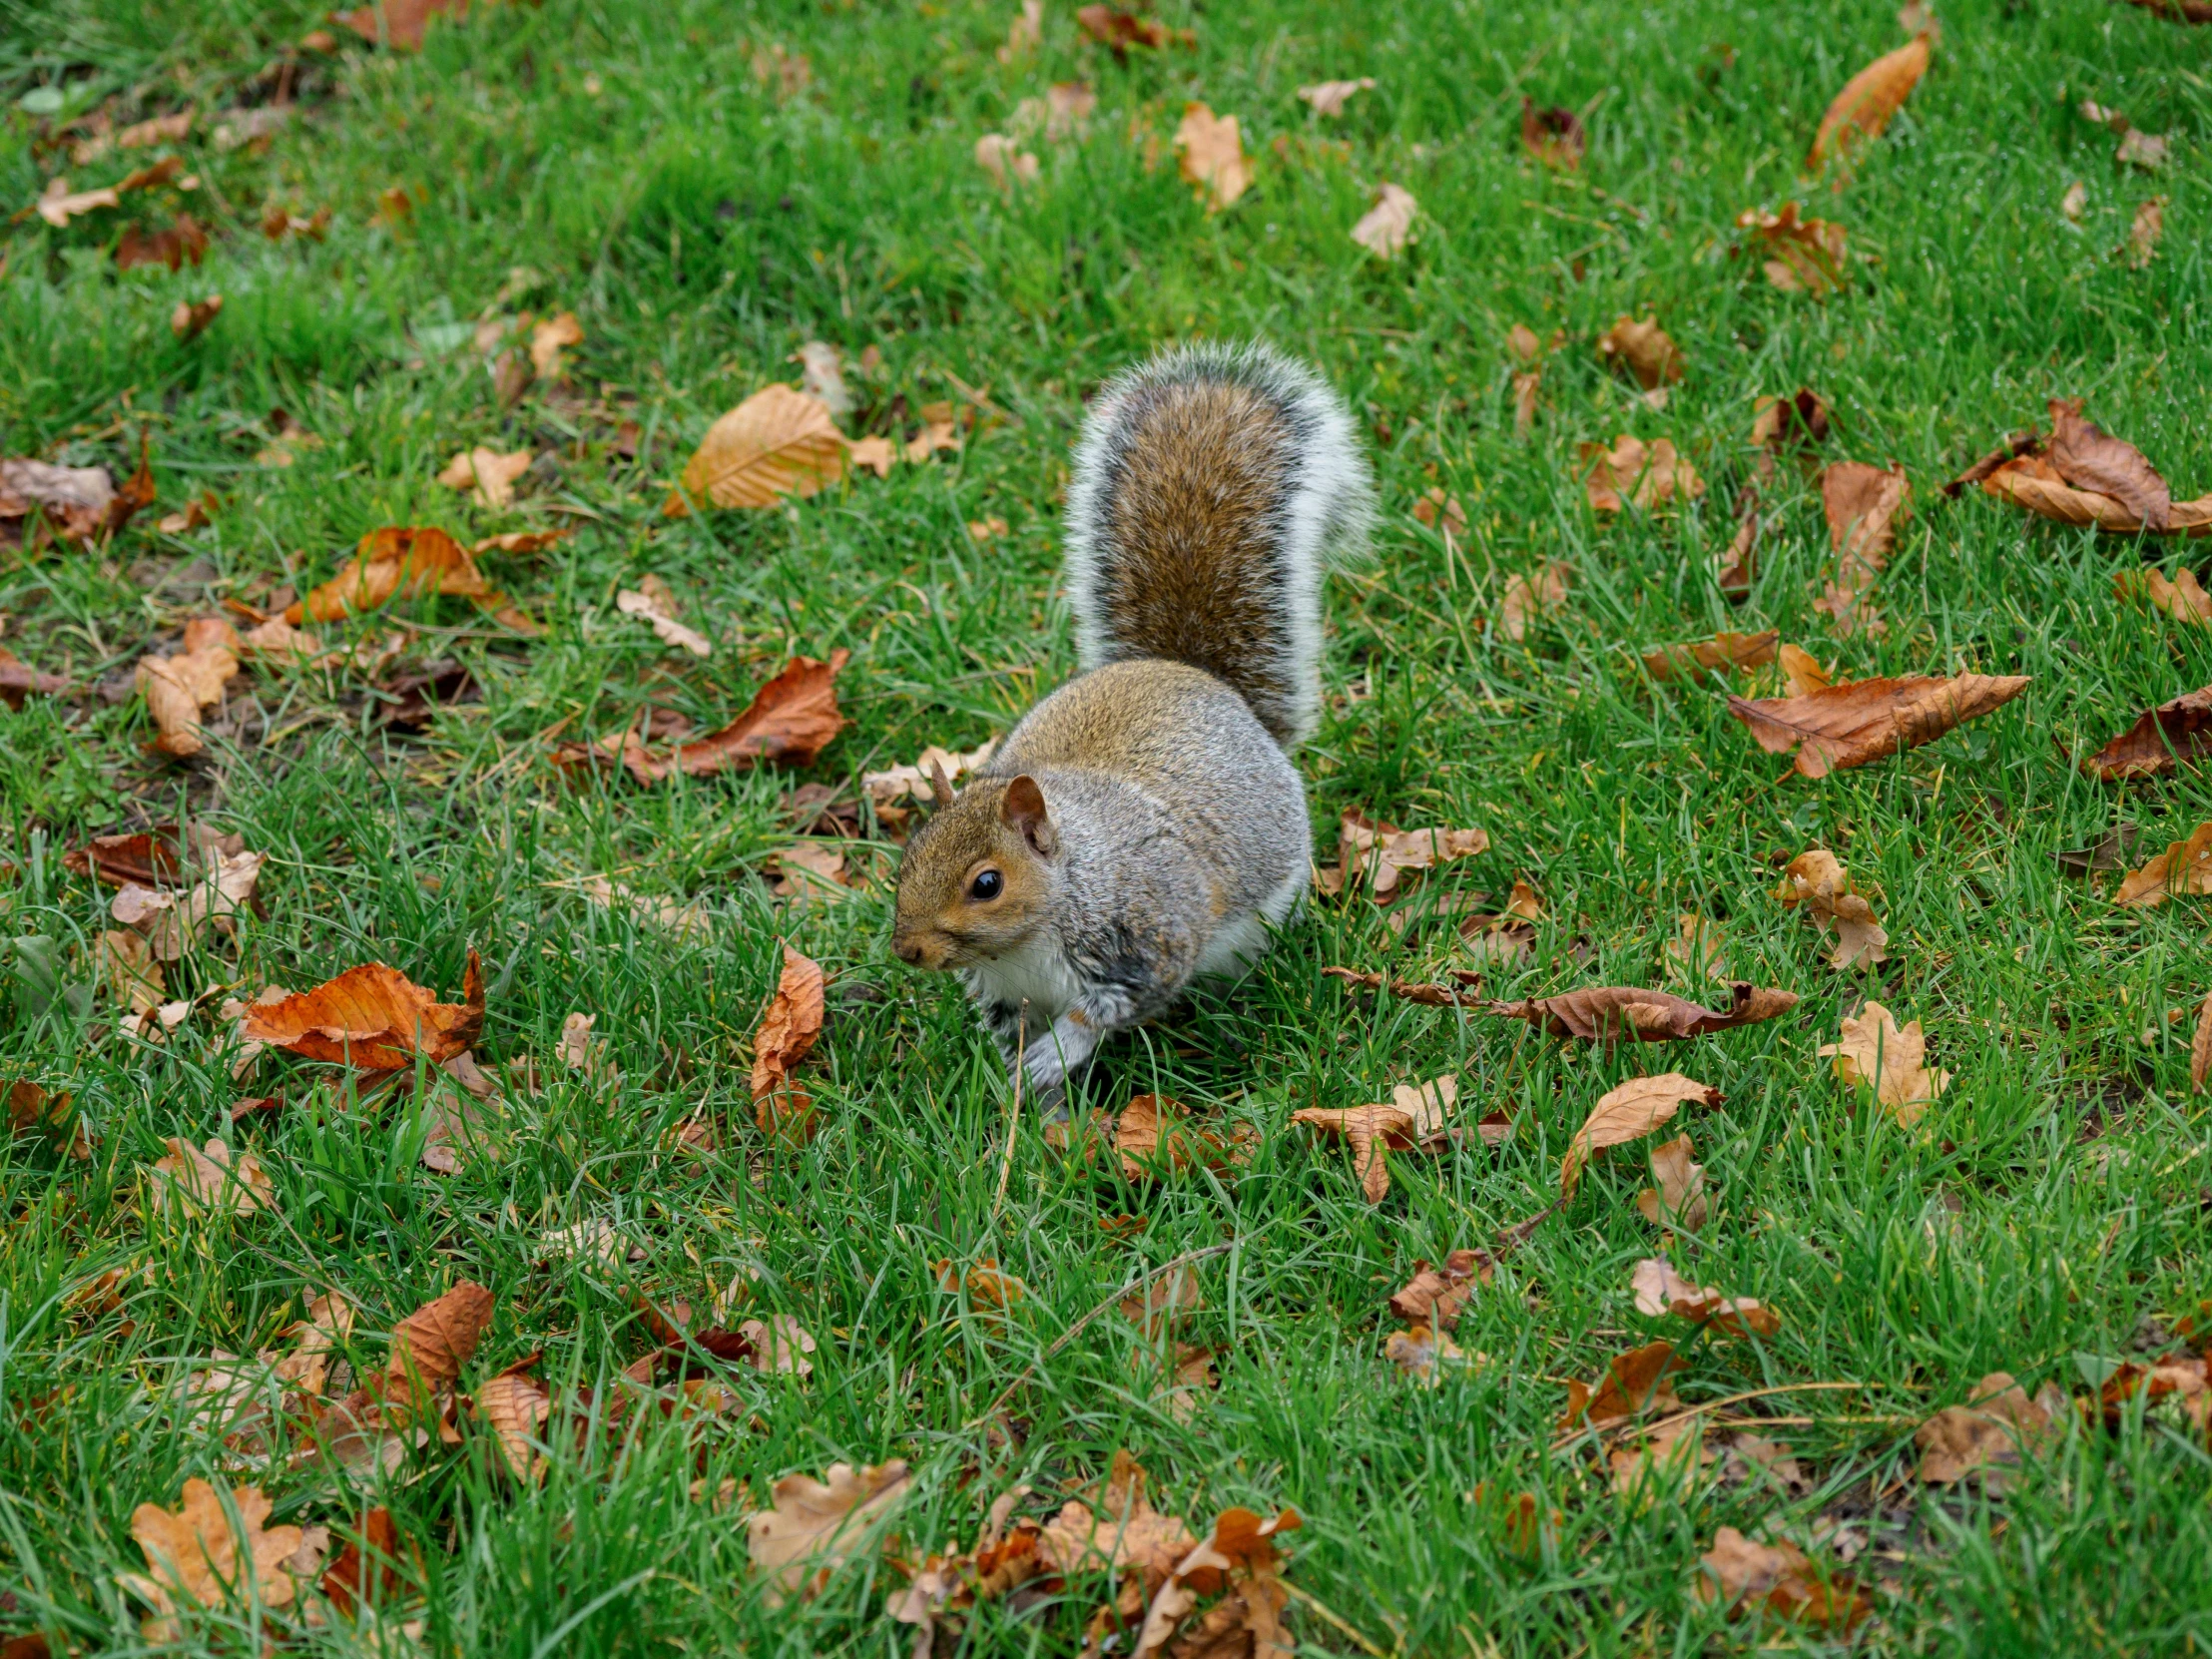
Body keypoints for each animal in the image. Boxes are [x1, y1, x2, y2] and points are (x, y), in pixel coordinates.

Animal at [888, 340, 1371, 1106]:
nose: (908, 950)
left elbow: (1109, 1010)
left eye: (986, 884)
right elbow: (1011, 1036)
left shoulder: (1148, 935)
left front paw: (1054, 1058)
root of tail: (1188, 673)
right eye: (909, 854)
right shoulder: (1005, 994)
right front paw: (1029, 1099)